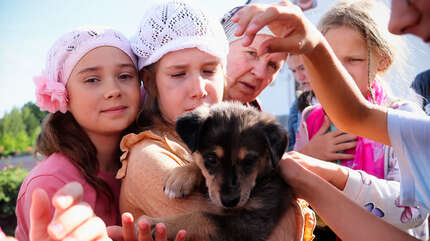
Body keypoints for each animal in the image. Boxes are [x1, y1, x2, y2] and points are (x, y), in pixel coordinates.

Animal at [146, 101, 294, 241]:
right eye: (212, 159)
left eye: (249, 160)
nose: (230, 201)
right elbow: (198, 163)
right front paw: (181, 177)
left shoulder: (254, 221)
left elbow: (201, 217)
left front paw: (157, 224)